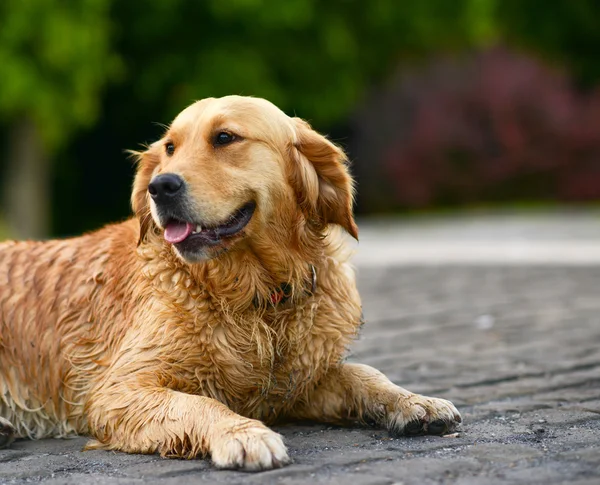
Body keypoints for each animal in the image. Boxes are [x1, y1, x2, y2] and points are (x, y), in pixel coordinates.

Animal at [0, 94, 460, 468]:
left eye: (225, 137)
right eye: (170, 148)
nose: (159, 186)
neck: (253, 295)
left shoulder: (297, 384)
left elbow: (362, 373)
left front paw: (414, 401)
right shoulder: (119, 389)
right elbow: (200, 404)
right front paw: (243, 434)